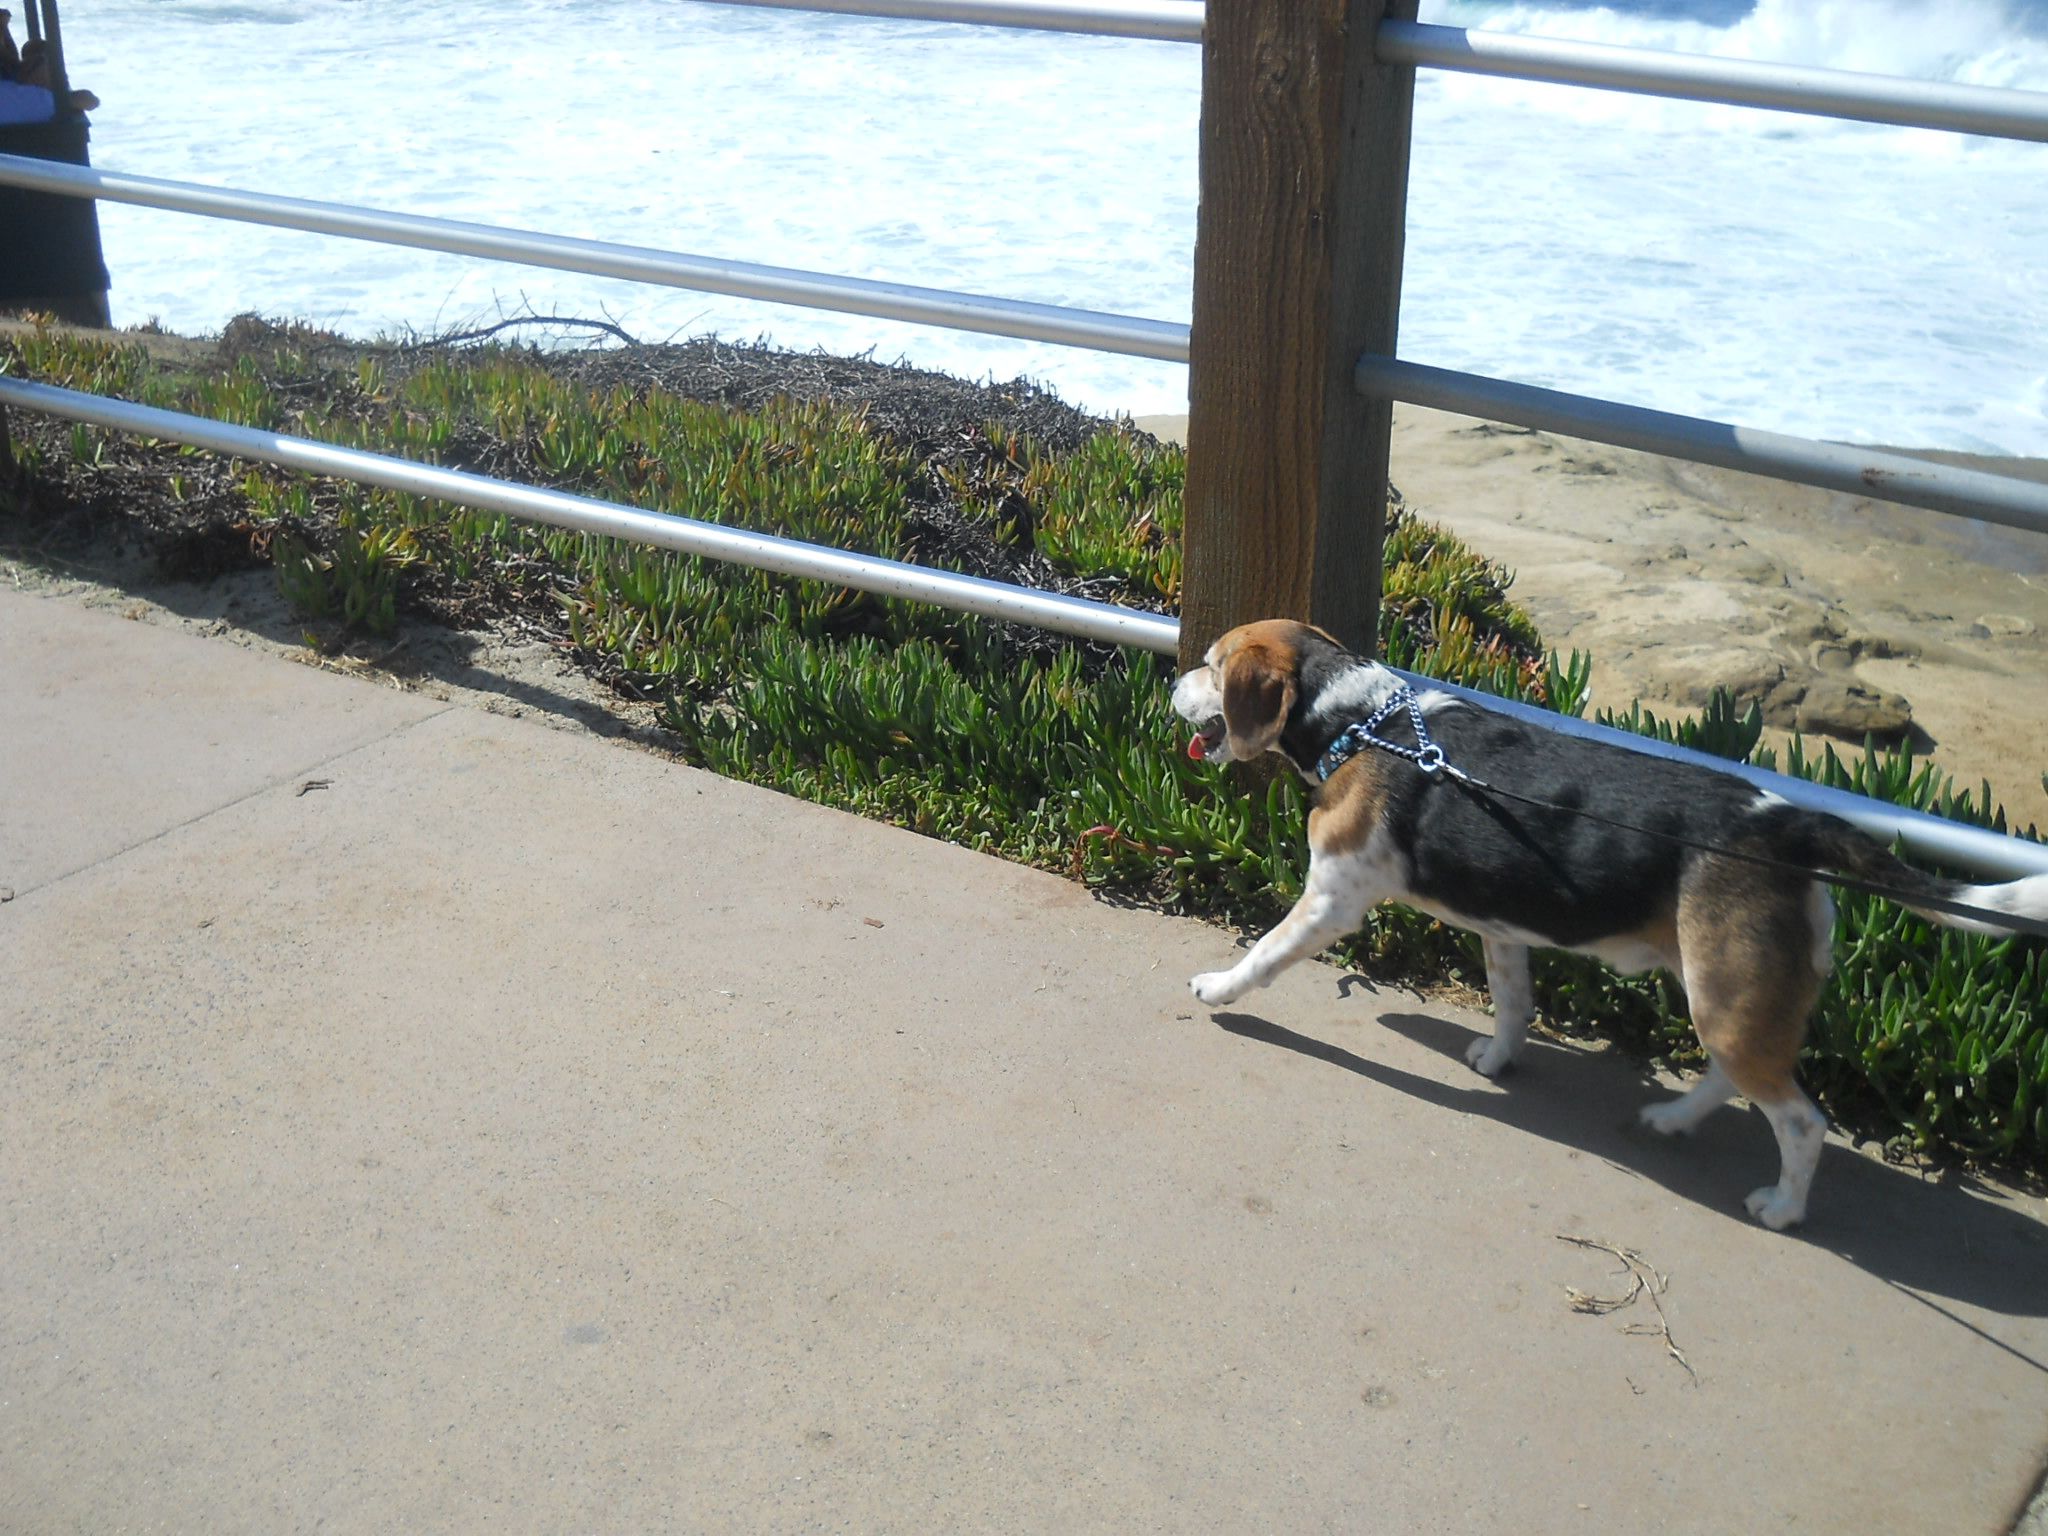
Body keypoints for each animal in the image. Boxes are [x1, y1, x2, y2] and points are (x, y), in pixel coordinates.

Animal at [1171, 618, 2048, 1236]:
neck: (1362, 719)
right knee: (1732, 1075)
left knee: (1803, 1122)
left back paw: (1782, 1207)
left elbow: (1265, 952)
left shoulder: (1332, 897)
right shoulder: (1501, 927)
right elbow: (1513, 1002)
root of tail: (1792, 826)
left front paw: (1219, 988)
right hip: (1723, 990)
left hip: (1728, 996)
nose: (1175, 684)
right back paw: (1672, 1119)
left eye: (1213, 664)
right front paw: (1498, 1059)